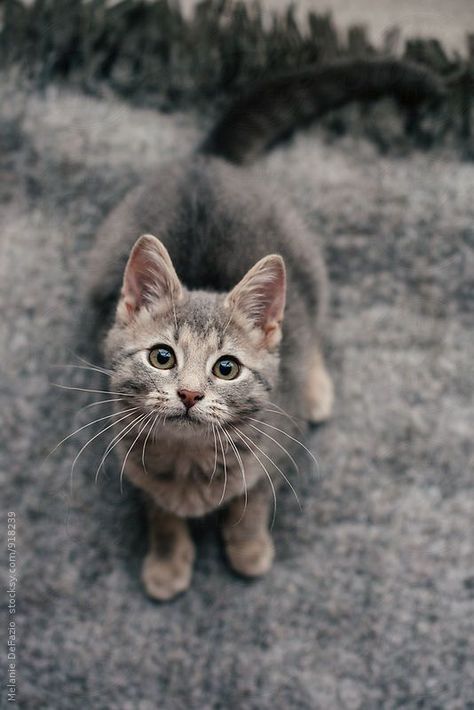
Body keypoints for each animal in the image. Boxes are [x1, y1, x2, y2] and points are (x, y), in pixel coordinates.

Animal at [88, 58, 444, 600]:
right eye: (162, 357)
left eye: (226, 368)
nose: (189, 394)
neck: (189, 464)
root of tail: (207, 163)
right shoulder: (131, 461)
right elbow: (160, 508)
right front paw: (168, 558)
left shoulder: (277, 446)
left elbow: (253, 499)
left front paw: (248, 547)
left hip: (307, 266)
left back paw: (317, 389)